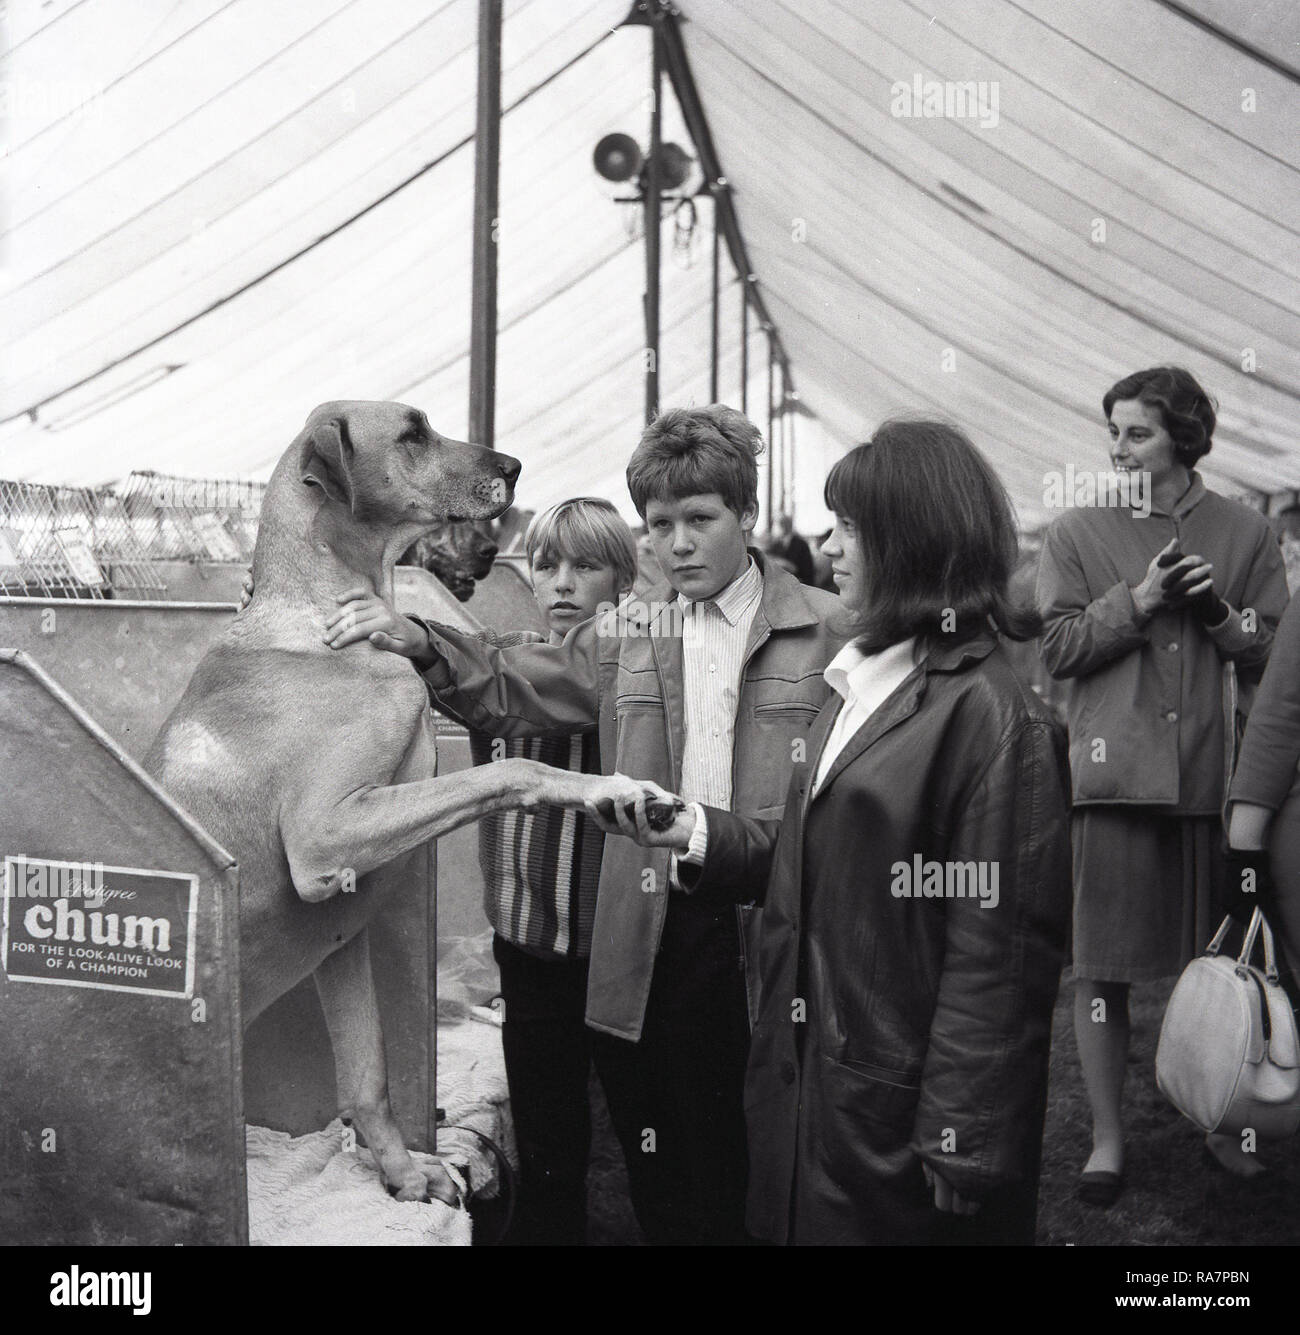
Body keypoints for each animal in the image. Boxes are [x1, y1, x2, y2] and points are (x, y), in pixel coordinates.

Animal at [146, 400, 621, 1206]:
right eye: (412, 432)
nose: (514, 466)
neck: (317, 617)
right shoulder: (322, 839)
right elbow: (504, 771)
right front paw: (608, 788)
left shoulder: (339, 929)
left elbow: (368, 1071)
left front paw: (401, 1172)